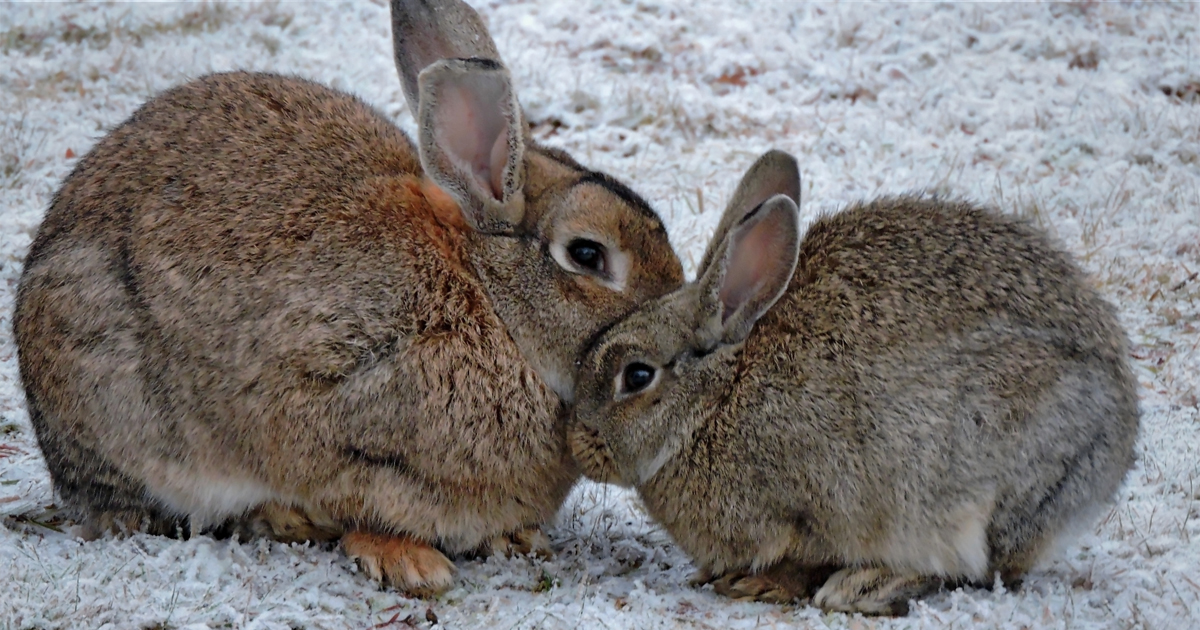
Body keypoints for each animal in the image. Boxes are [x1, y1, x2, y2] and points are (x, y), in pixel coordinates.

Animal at [14, 0, 686, 595]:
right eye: (588, 255)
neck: (488, 296)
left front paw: (514, 538)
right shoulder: (327, 404)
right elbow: (354, 499)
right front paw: (408, 562)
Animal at [566, 150, 1137, 612]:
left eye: (637, 376)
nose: (580, 443)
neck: (716, 399)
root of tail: (1119, 436)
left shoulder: (812, 507)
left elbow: (804, 558)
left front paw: (758, 584)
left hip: (982, 479)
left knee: (978, 568)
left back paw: (866, 586)